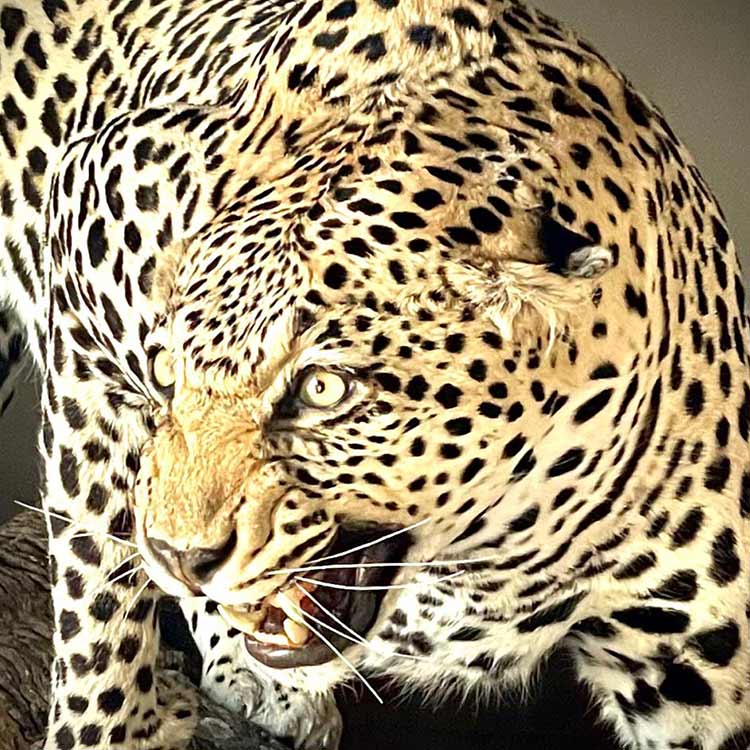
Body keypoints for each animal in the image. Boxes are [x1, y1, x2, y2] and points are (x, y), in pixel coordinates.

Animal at [1, 1, 748, 749]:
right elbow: (99, 577)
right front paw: (106, 730)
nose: (181, 556)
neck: (497, 560)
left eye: (323, 389)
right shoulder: (83, 219)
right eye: (165, 371)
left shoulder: (699, 670)